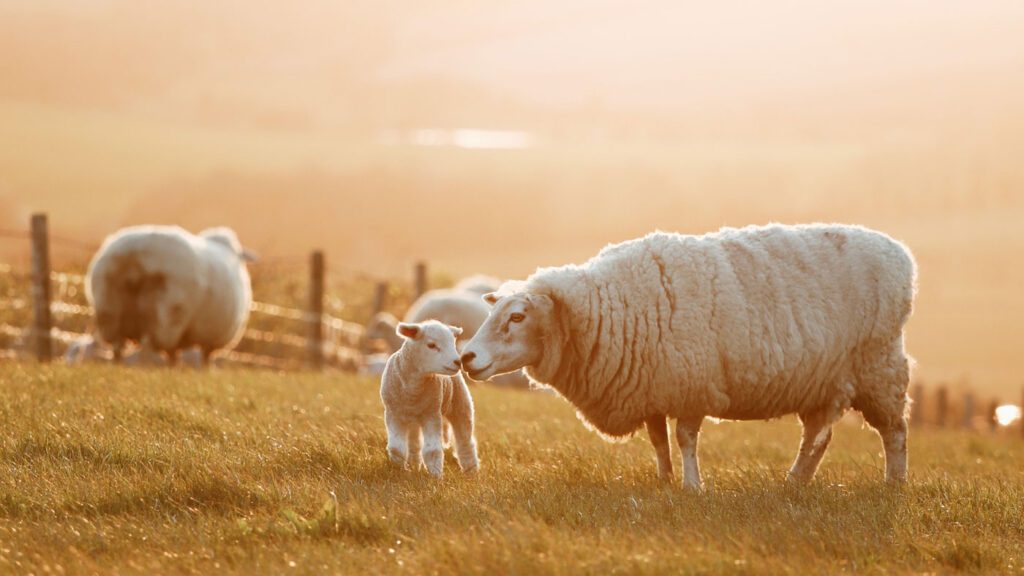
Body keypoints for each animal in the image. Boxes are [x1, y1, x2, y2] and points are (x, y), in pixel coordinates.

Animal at [86, 224, 258, 362]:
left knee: (117, 347)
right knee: (146, 347)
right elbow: (205, 358)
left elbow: (174, 354)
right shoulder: (212, 338)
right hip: (166, 315)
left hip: (109, 310)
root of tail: (135, 253)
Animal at [380, 317, 479, 475]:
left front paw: (436, 476)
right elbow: (397, 449)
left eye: (453, 344)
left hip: (461, 404)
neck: (412, 390)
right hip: (413, 420)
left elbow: (432, 450)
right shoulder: (393, 414)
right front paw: (398, 471)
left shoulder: (432, 414)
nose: (458, 362)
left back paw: (471, 472)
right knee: (414, 444)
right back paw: (414, 466)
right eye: (431, 345)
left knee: (466, 442)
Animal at [460, 222, 917, 485]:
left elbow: (683, 439)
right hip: (821, 380)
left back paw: (893, 486)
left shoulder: (692, 384)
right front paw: (663, 481)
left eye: (517, 316)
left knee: (894, 432)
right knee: (817, 439)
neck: (610, 307)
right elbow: (658, 440)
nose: (467, 358)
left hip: (879, 365)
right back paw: (793, 483)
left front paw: (691, 487)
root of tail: (900, 254)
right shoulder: (651, 386)